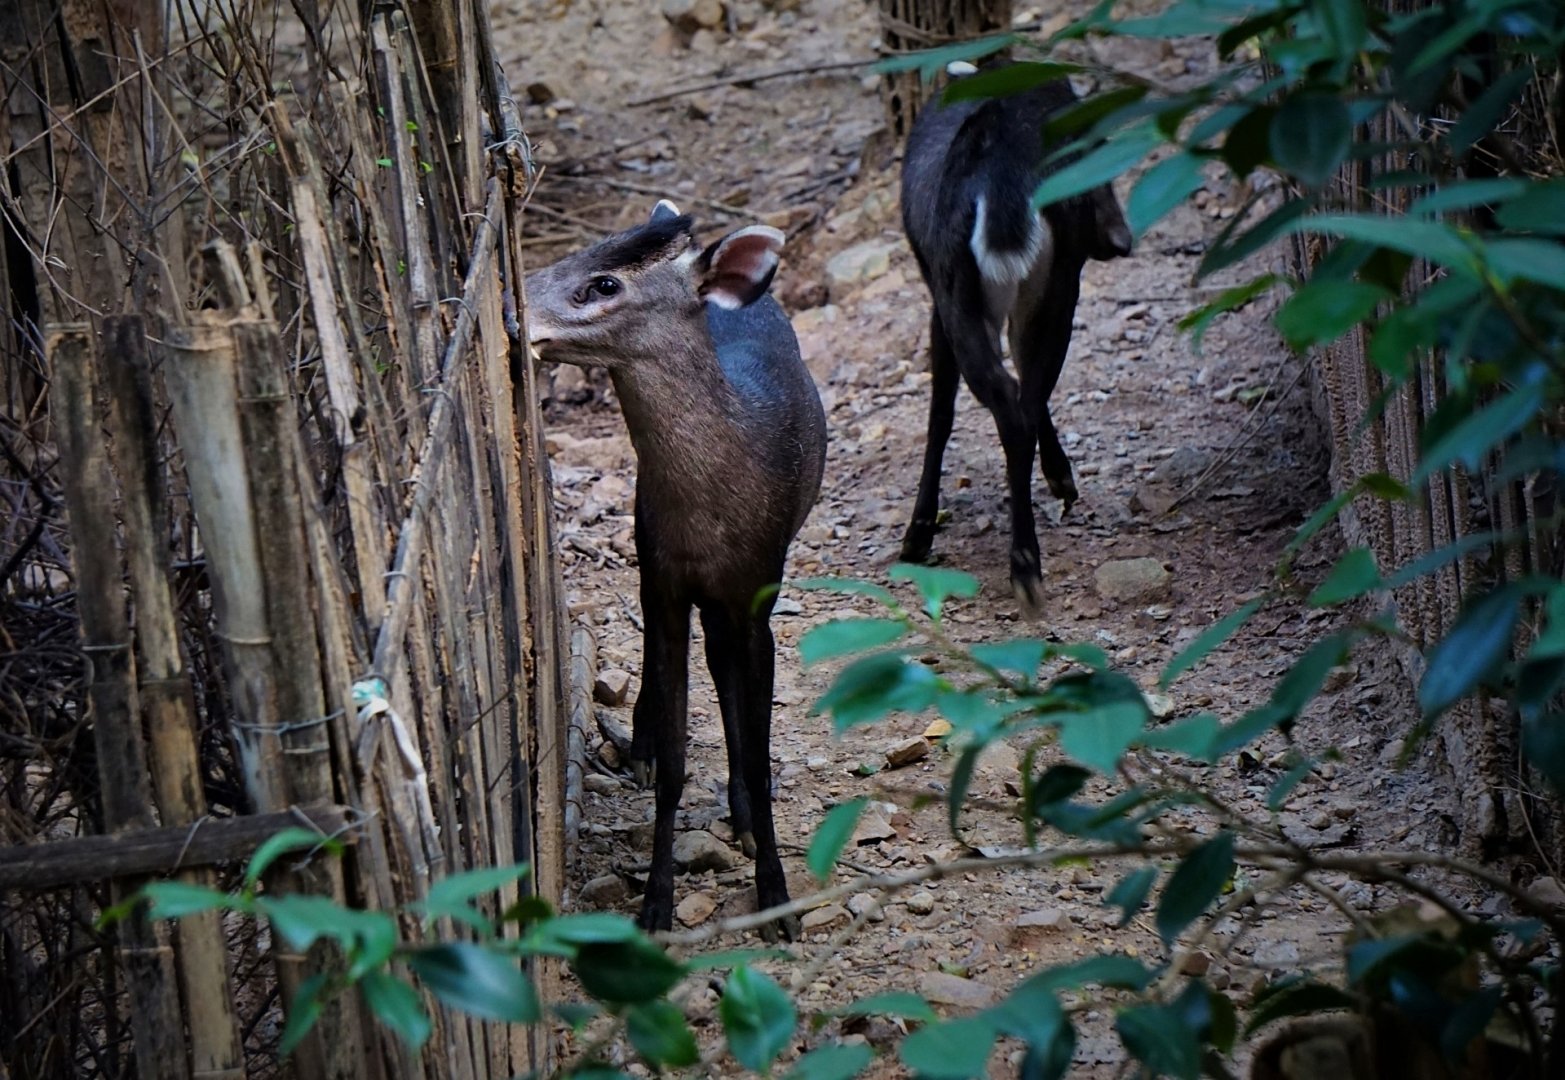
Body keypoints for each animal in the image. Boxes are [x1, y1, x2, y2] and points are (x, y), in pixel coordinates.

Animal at [525, 201, 826, 939]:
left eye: (604, 283)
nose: (518, 309)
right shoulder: (662, 578)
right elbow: (675, 764)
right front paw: (655, 903)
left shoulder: (755, 591)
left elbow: (756, 745)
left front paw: (775, 893)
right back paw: (641, 745)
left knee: (724, 673)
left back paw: (742, 813)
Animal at [899, 62, 1133, 607]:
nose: (1121, 239)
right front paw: (1061, 476)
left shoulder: (937, 297)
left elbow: (940, 412)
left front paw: (919, 533)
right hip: (1059, 279)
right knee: (1027, 391)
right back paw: (1041, 532)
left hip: (960, 290)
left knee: (1006, 400)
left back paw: (1022, 568)